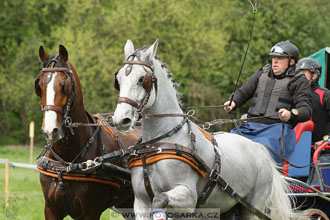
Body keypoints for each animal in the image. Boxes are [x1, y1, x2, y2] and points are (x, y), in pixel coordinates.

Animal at [34, 45, 141, 220]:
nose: (51, 130)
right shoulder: (51, 209)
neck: (67, 162)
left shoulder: (90, 212)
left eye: (64, 85)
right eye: (39, 85)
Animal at [112, 40, 308, 220]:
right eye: (118, 79)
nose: (121, 119)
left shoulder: (188, 198)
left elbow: (160, 199)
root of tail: (261, 149)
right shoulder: (141, 203)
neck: (159, 143)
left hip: (253, 208)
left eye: (141, 79)